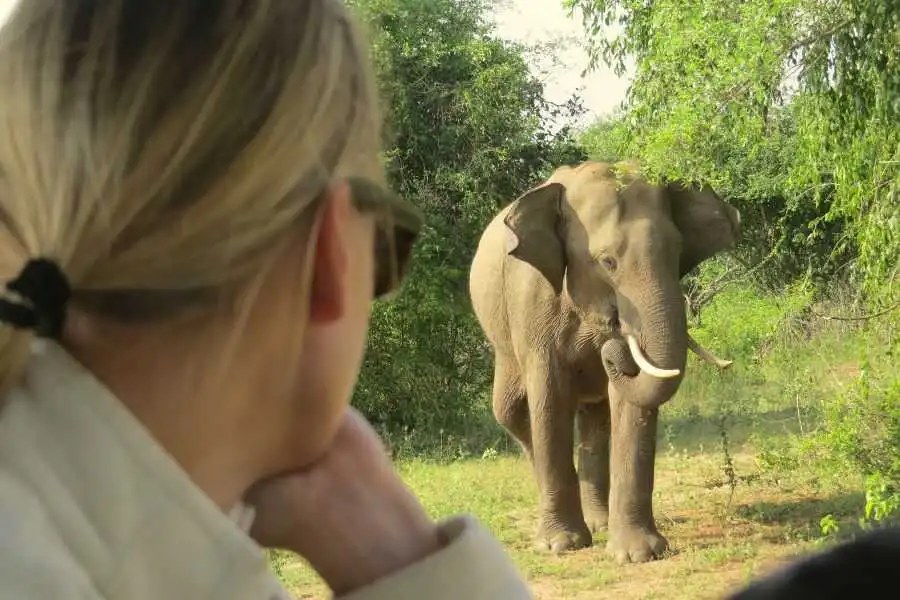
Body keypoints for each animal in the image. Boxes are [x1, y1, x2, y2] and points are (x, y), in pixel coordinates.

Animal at [468, 160, 741, 563]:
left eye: (678, 252)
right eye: (607, 261)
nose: (614, 349)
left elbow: (628, 402)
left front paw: (638, 555)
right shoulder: (532, 305)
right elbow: (549, 396)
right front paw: (560, 545)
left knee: (595, 420)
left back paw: (598, 525)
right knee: (512, 412)